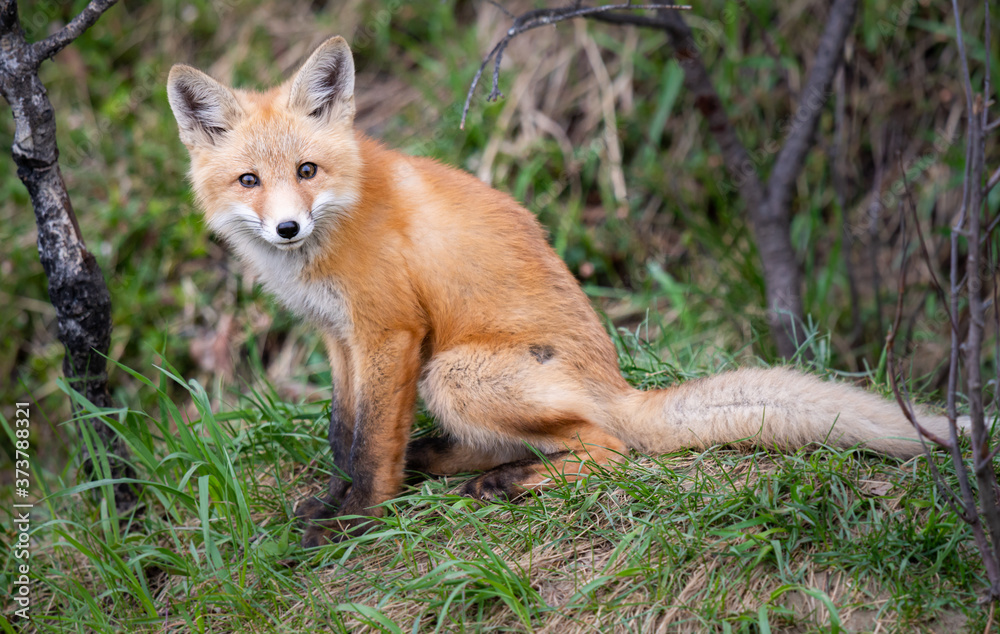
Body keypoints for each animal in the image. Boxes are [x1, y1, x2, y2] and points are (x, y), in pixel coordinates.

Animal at [168, 36, 962, 547]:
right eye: (249, 181)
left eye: (306, 170)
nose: (288, 228)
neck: (334, 231)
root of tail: (618, 385)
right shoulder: (338, 337)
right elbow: (344, 434)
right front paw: (334, 500)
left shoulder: (389, 332)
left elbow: (372, 448)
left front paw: (355, 521)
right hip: (449, 377)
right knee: (522, 443)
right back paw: (456, 464)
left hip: (451, 371)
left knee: (608, 448)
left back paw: (508, 482)